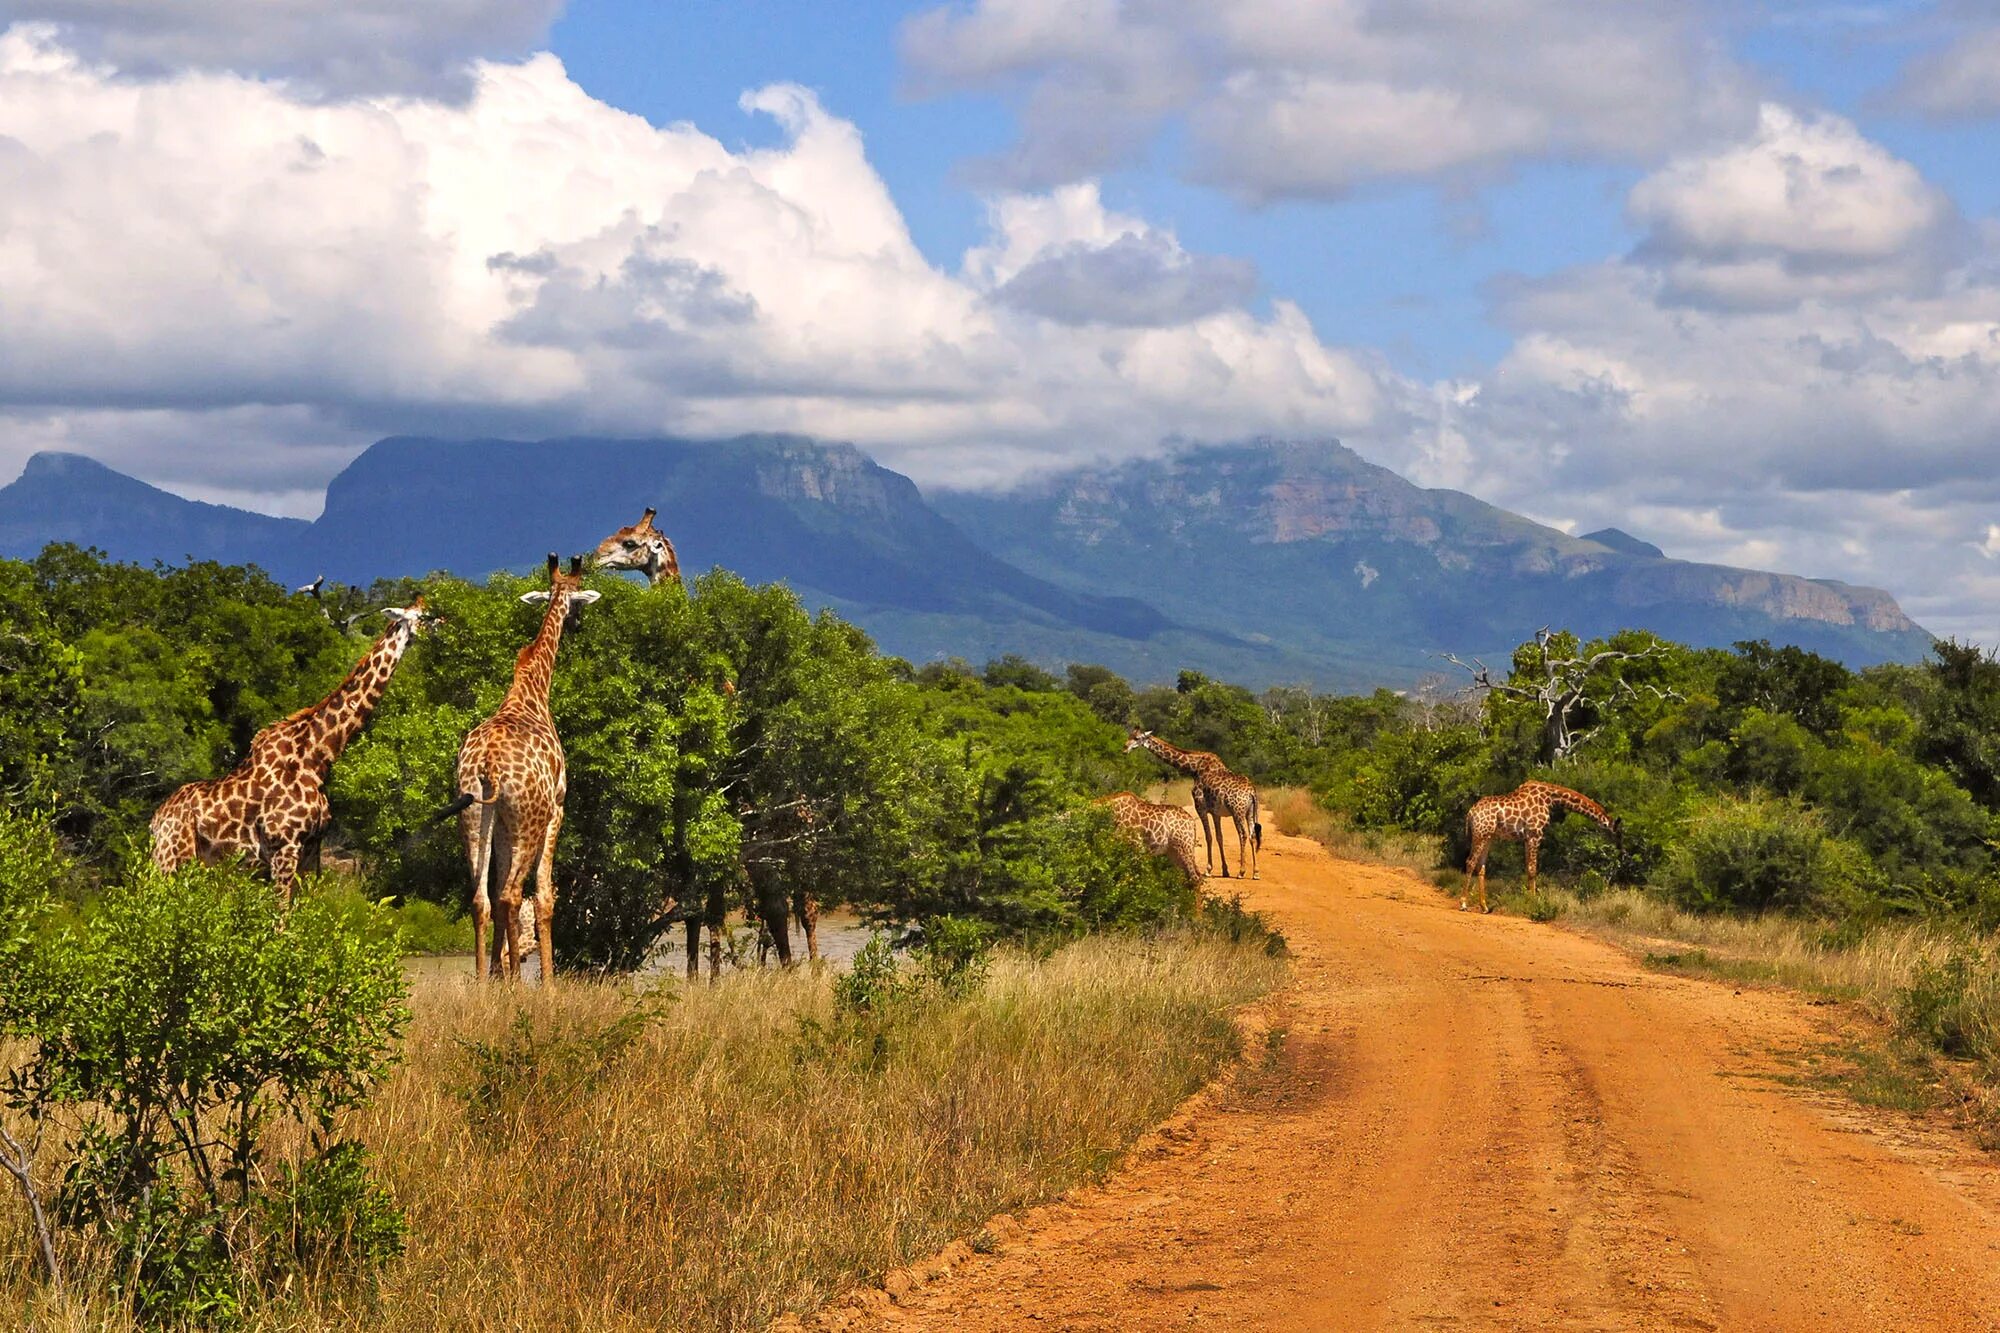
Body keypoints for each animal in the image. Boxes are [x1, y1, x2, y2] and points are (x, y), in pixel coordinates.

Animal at [150, 596, 440, 896]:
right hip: (170, 858)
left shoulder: (312, 852)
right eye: (424, 615)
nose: (442, 624)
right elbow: (281, 909)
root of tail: (156, 820)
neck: (318, 757)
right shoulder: (284, 847)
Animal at [438, 548, 592, 976]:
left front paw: (497, 975)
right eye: (578, 603)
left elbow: (495, 894)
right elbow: (544, 897)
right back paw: (521, 984)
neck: (532, 690)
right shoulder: (558, 807)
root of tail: (487, 765)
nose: (577, 625)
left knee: (481, 898)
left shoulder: (503, 823)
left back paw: (485, 982)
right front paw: (547, 983)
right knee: (510, 894)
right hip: (529, 821)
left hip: (473, 816)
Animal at [1120, 720, 1256, 876]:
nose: (1124, 749)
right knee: (1252, 835)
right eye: (1129, 735)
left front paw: (1208, 869)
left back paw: (1242, 871)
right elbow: (1219, 837)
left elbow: (1208, 836)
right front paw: (1225, 870)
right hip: (1250, 812)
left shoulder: (1200, 806)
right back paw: (1255, 872)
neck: (1193, 769)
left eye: (1137, 738)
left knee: (1243, 834)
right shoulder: (1215, 812)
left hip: (1237, 812)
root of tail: (1252, 793)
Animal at [1464, 780, 1616, 912]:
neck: (1551, 798)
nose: (1613, 847)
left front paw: (1528, 899)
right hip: (1480, 834)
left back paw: (1484, 906)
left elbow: (1528, 868)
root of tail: (1471, 813)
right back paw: (1464, 903)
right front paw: (1533, 902)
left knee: (1481, 867)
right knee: (1470, 862)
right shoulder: (1535, 834)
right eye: (1613, 832)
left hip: (1488, 836)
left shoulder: (1527, 837)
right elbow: (1533, 869)